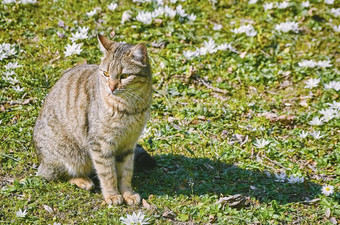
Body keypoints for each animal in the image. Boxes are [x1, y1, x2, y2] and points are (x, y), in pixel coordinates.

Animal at [33, 35, 153, 206]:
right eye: (106, 73)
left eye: (124, 76)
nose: (111, 87)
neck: (130, 107)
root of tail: (41, 160)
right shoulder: (100, 144)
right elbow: (108, 173)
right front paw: (112, 195)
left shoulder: (129, 144)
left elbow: (126, 172)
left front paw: (128, 193)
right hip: (69, 155)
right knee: (53, 175)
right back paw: (83, 181)